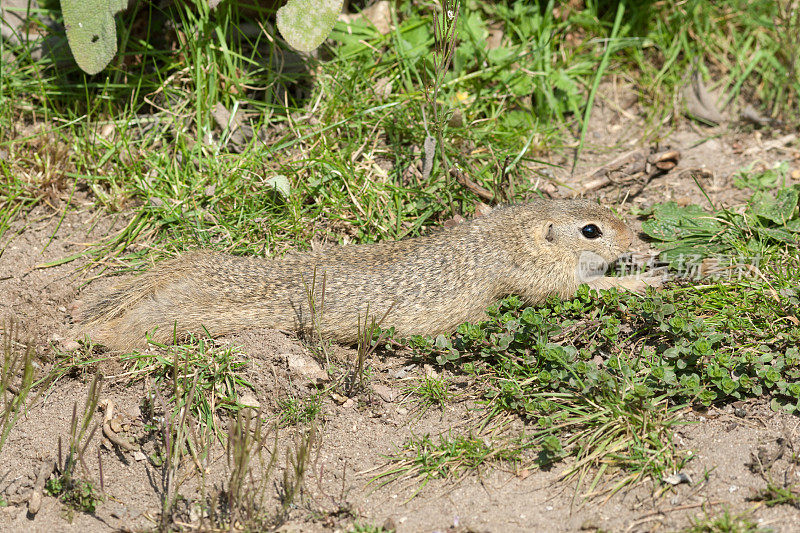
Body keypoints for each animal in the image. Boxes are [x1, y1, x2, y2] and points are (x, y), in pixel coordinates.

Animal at [78, 197, 660, 352]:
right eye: (591, 230)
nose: (635, 238)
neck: (514, 232)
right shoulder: (543, 282)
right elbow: (587, 289)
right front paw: (644, 277)